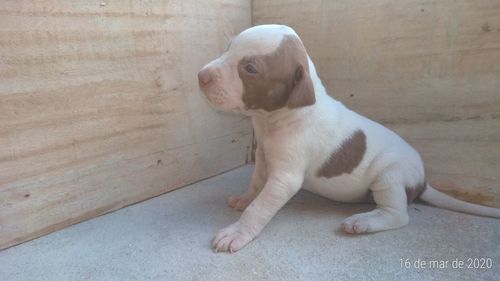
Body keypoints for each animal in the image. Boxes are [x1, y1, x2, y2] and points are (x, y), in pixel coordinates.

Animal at [197, 24, 498, 252]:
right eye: (228, 48)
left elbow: (259, 209)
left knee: (398, 215)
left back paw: (362, 222)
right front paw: (245, 198)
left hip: (390, 176)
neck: (273, 119)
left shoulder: (285, 178)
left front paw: (237, 232)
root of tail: (423, 180)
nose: (201, 76)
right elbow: (257, 183)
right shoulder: (262, 156)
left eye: (250, 68)